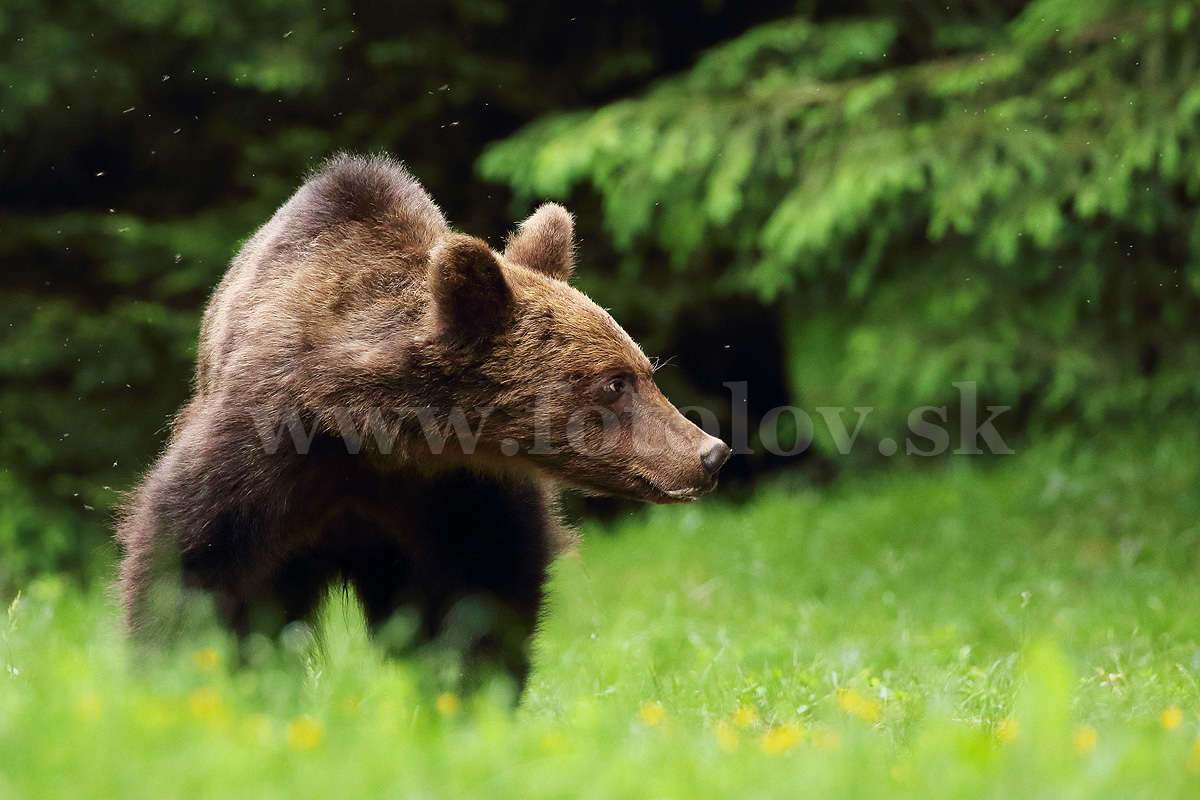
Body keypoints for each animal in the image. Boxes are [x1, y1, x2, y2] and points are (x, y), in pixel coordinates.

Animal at [117, 151, 729, 690]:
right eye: (614, 381)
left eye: (645, 369)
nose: (710, 452)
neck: (375, 432)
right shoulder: (265, 456)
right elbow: (191, 564)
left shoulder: (454, 494)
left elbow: (478, 597)